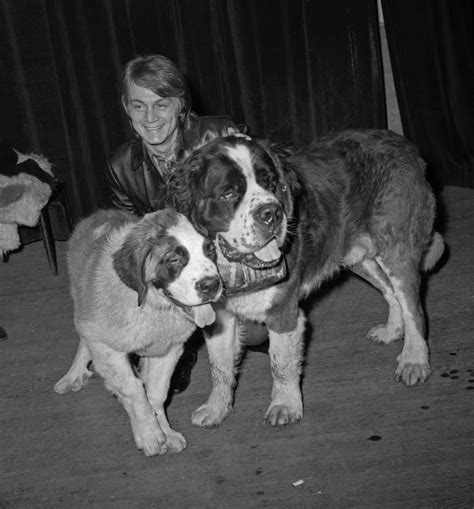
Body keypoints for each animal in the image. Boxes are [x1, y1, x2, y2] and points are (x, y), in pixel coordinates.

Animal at [52, 208, 223, 454]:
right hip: (86, 309)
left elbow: (156, 393)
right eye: (174, 259)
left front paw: (165, 432)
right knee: (86, 338)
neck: (152, 306)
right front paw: (149, 433)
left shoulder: (167, 350)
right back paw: (74, 373)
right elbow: (132, 388)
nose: (211, 285)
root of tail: (98, 215)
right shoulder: (107, 346)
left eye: (210, 251)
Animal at [168, 130, 446, 428]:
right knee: (392, 293)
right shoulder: (219, 316)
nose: (272, 213)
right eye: (228, 193)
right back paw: (392, 331)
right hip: (357, 257)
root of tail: (404, 143)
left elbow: (280, 363)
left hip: (396, 247)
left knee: (413, 308)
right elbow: (219, 367)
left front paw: (285, 406)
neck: (235, 267)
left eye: (272, 183)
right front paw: (216, 408)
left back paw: (414, 360)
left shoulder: (283, 313)